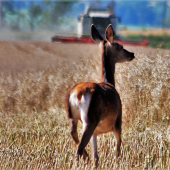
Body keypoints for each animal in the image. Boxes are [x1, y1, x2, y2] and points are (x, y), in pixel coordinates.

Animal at [65, 23, 135, 166]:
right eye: (120, 46)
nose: (132, 54)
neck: (109, 83)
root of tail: (77, 95)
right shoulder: (118, 120)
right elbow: (118, 149)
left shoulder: (96, 133)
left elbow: (96, 156)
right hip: (90, 119)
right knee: (79, 147)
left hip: (72, 117)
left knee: (75, 137)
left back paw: (86, 157)